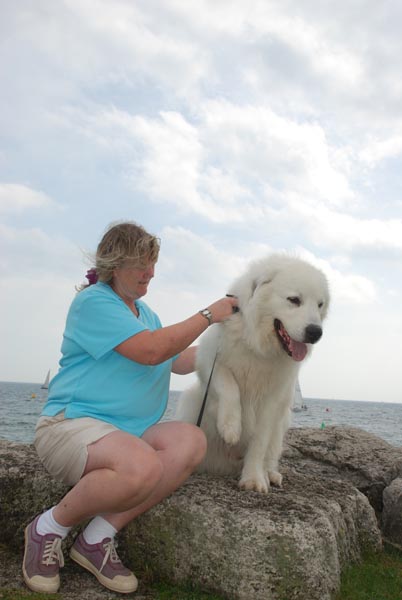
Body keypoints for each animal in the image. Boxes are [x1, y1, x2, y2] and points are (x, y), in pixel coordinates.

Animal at [176, 253, 330, 492]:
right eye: (294, 300)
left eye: (320, 304)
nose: (316, 332)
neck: (259, 345)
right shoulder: (208, 360)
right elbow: (229, 385)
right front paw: (230, 427)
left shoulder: (273, 400)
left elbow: (259, 442)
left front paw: (254, 479)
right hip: (192, 402)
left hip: (282, 422)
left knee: (271, 455)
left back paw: (271, 475)